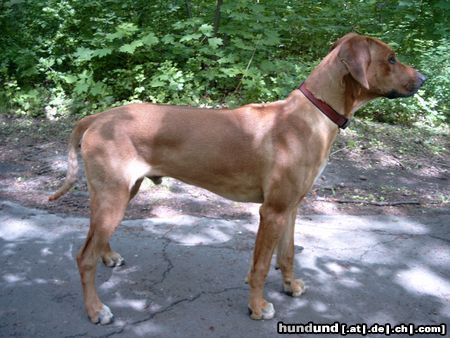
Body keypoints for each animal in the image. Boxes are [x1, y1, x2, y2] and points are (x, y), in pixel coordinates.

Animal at [49, 33, 426, 324]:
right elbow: (259, 267)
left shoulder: (291, 206)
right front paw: (257, 307)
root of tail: (97, 117)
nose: (423, 79)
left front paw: (290, 286)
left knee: (95, 236)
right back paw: (95, 309)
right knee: (84, 257)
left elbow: (287, 254)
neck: (314, 114)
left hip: (120, 191)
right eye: (391, 58)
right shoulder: (271, 211)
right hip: (113, 194)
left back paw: (109, 256)